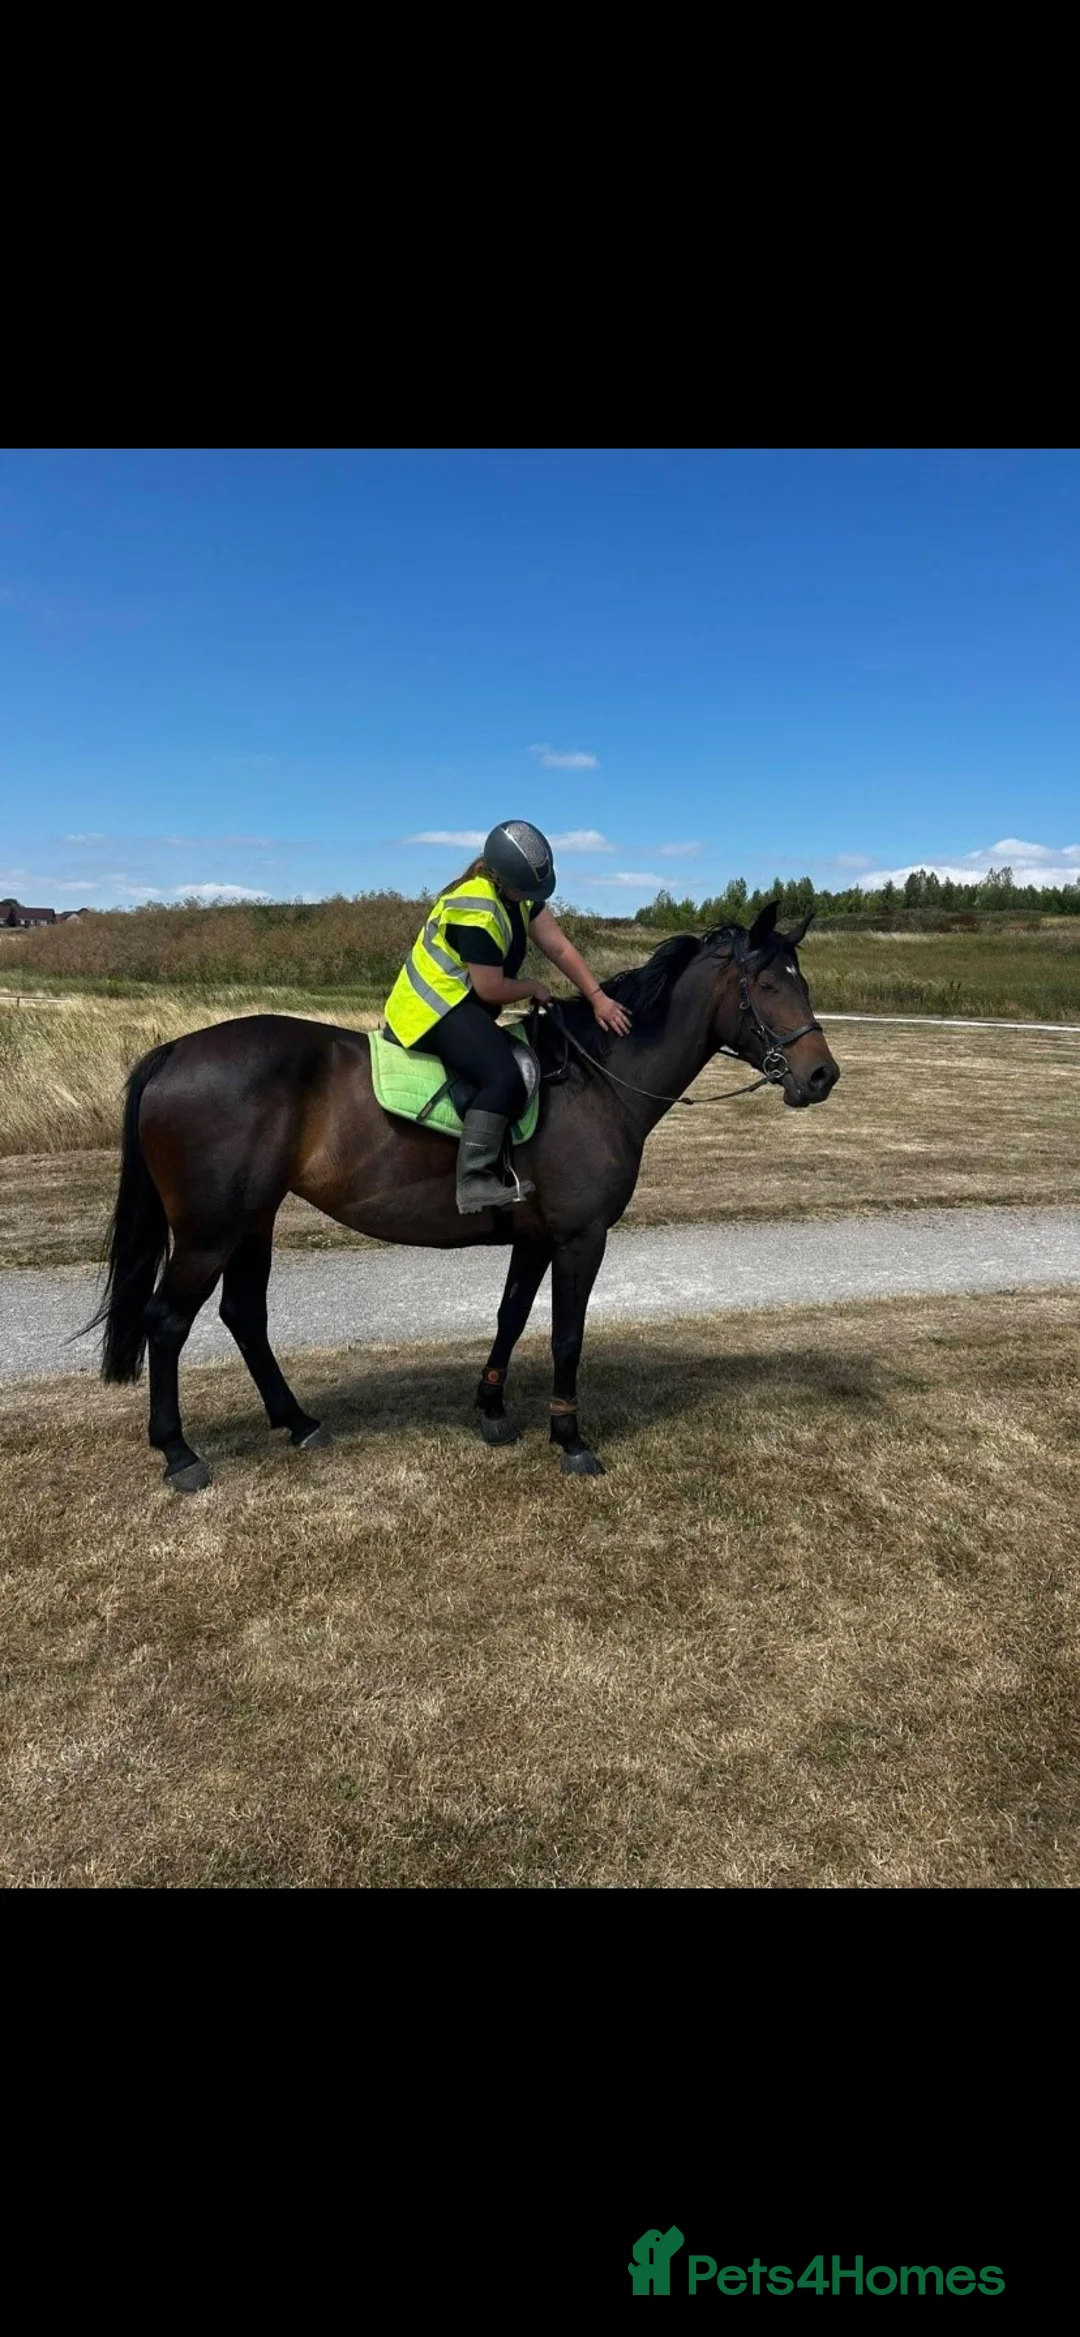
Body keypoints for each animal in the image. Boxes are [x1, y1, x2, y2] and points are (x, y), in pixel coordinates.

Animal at [89, 901, 839, 1489]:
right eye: (766, 983)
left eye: (803, 981)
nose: (821, 1075)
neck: (597, 1080)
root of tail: (175, 1051)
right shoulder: (580, 1239)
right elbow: (567, 1335)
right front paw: (569, 1438)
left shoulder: (535, 1238)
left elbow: (510, 1316)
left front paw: (492, 1410)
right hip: (210, 1231)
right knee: (167, 1322)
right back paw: (179, 1452)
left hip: (253, 1221)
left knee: (244, 1316)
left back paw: (298, 1421)